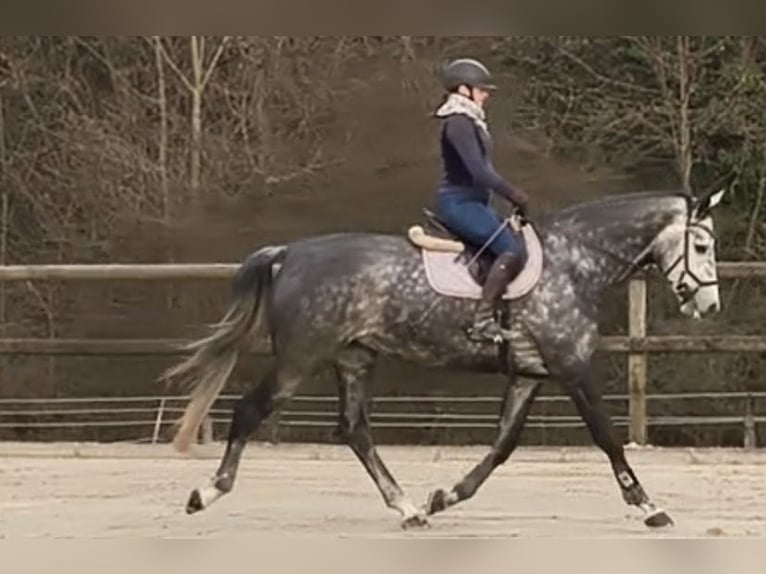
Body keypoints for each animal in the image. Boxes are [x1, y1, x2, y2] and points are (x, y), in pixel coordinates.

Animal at [161, 188, 726, 530]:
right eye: (700, 246)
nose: (710, 306)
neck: (575, 261)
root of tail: (288, 254)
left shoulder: (530, 374)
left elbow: (502, 446)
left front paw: (447, 496)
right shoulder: (572, 367)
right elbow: (607, 438)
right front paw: (650, 506)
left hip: (354, 359)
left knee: (354, 430)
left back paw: (410, 508)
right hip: (301, 357)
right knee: (250, 411)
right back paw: (206, 493)